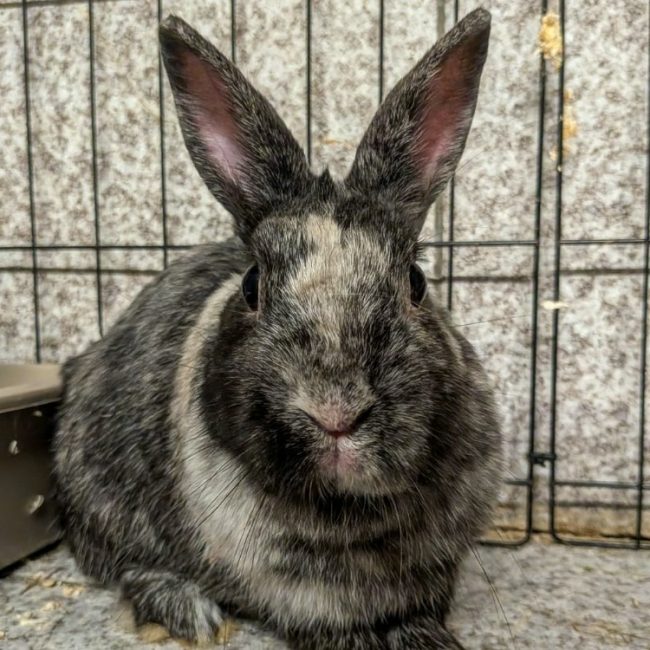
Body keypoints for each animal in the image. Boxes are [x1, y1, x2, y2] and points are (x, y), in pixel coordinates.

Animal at [53, 7, 501, 650]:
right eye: (252, 286)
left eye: (416, 282)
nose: (335, 411)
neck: (346, 513)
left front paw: (427, 637)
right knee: (121, 563)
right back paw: (184, 608)